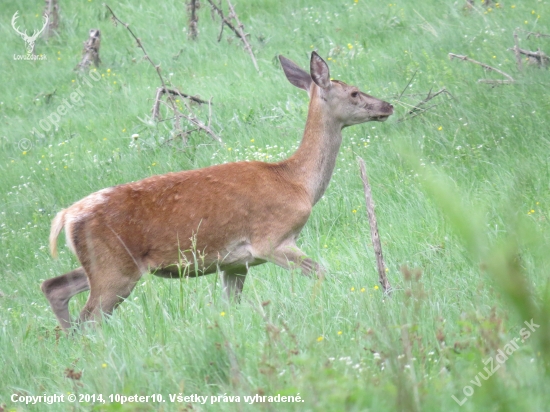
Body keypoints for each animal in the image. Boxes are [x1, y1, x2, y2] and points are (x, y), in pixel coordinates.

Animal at [44, 51, 396, 330]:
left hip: (104, 265)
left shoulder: (235, 263)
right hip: (114, 270)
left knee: (54, 286)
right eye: (354, 92)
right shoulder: (271, 240)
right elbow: (324, 273)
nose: (388, 105)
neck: (297, 182)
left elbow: (229, 307)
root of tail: (66, 215)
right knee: (88, 318)